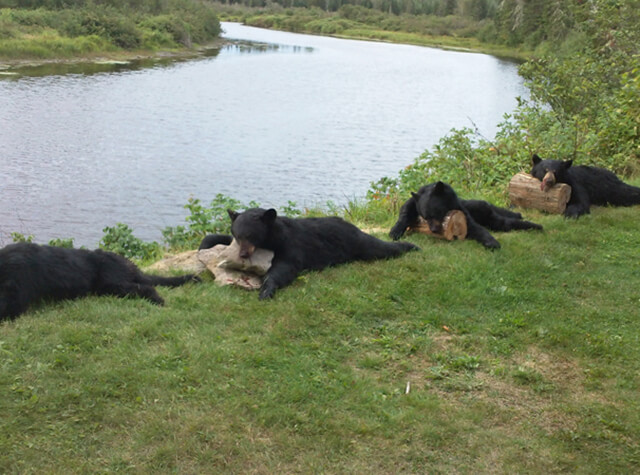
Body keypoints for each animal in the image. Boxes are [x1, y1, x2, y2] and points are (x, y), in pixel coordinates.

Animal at [200, 207, 420, 300]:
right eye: (237, 234)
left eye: (251, 235)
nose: (244, 254)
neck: (274, 238)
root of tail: (351, 225)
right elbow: (216, 238)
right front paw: (205, 244)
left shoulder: (291, 245)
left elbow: (284, 268)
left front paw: (266, 290)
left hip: (356, 242)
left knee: (378, 247)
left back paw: (411, 246)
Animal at [388, 181, 544, 251]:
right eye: (425, 217)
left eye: (435, 213)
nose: (433, 230)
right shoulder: (415, 201)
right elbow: (406, 208)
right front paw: (395, 231)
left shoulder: (460, 208)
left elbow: (474, 227)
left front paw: (491, 242)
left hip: (480, 207)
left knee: (501, 221)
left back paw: (532, 224)